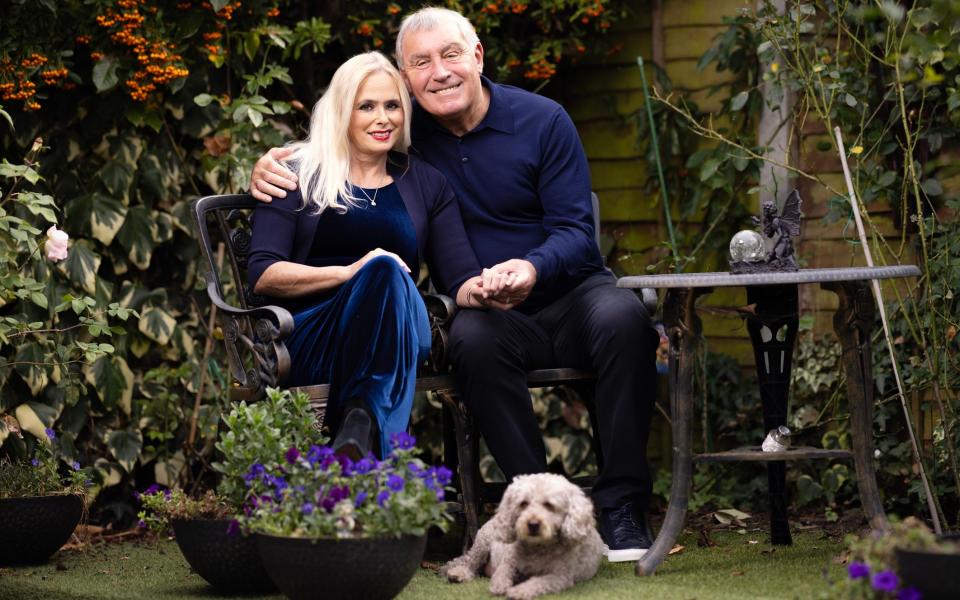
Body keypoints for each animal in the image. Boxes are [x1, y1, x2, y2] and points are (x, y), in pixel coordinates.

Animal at [440, 474, 600, 600]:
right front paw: (499, 585)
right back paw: (458, 573)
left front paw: (519, 591)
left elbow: (538, 583)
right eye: (523, 503)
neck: (538, 546)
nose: (533, 524)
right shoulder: (509, 558)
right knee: (470, 562)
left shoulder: (560, 577)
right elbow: (502, 572)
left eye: (549, 505)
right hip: (482, 543)